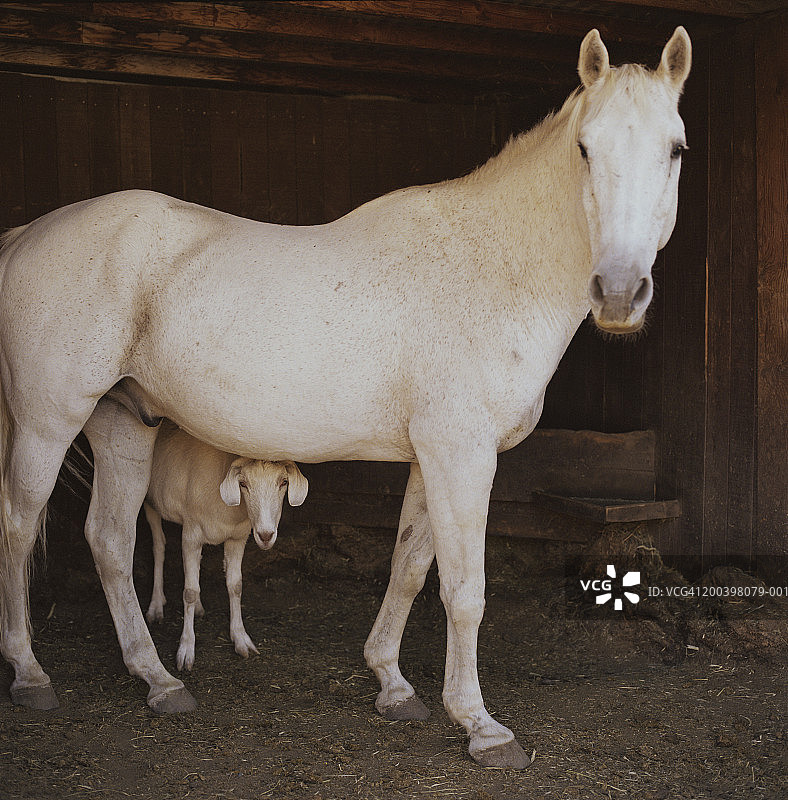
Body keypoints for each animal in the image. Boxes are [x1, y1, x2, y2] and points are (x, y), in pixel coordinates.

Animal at [0, 27, 691, 768]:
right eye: (585, 148)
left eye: (675, 149)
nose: (618, 293)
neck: (489, 267)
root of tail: (25, 236)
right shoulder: (462, 456)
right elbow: (464, 589)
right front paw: (480, 725)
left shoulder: (431, 458)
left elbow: (410, 568)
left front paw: (393, 684)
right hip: (47, 423)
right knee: (19, 527)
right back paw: (31, 674)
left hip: (122, 422)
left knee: (107, 539)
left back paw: (157, 679)